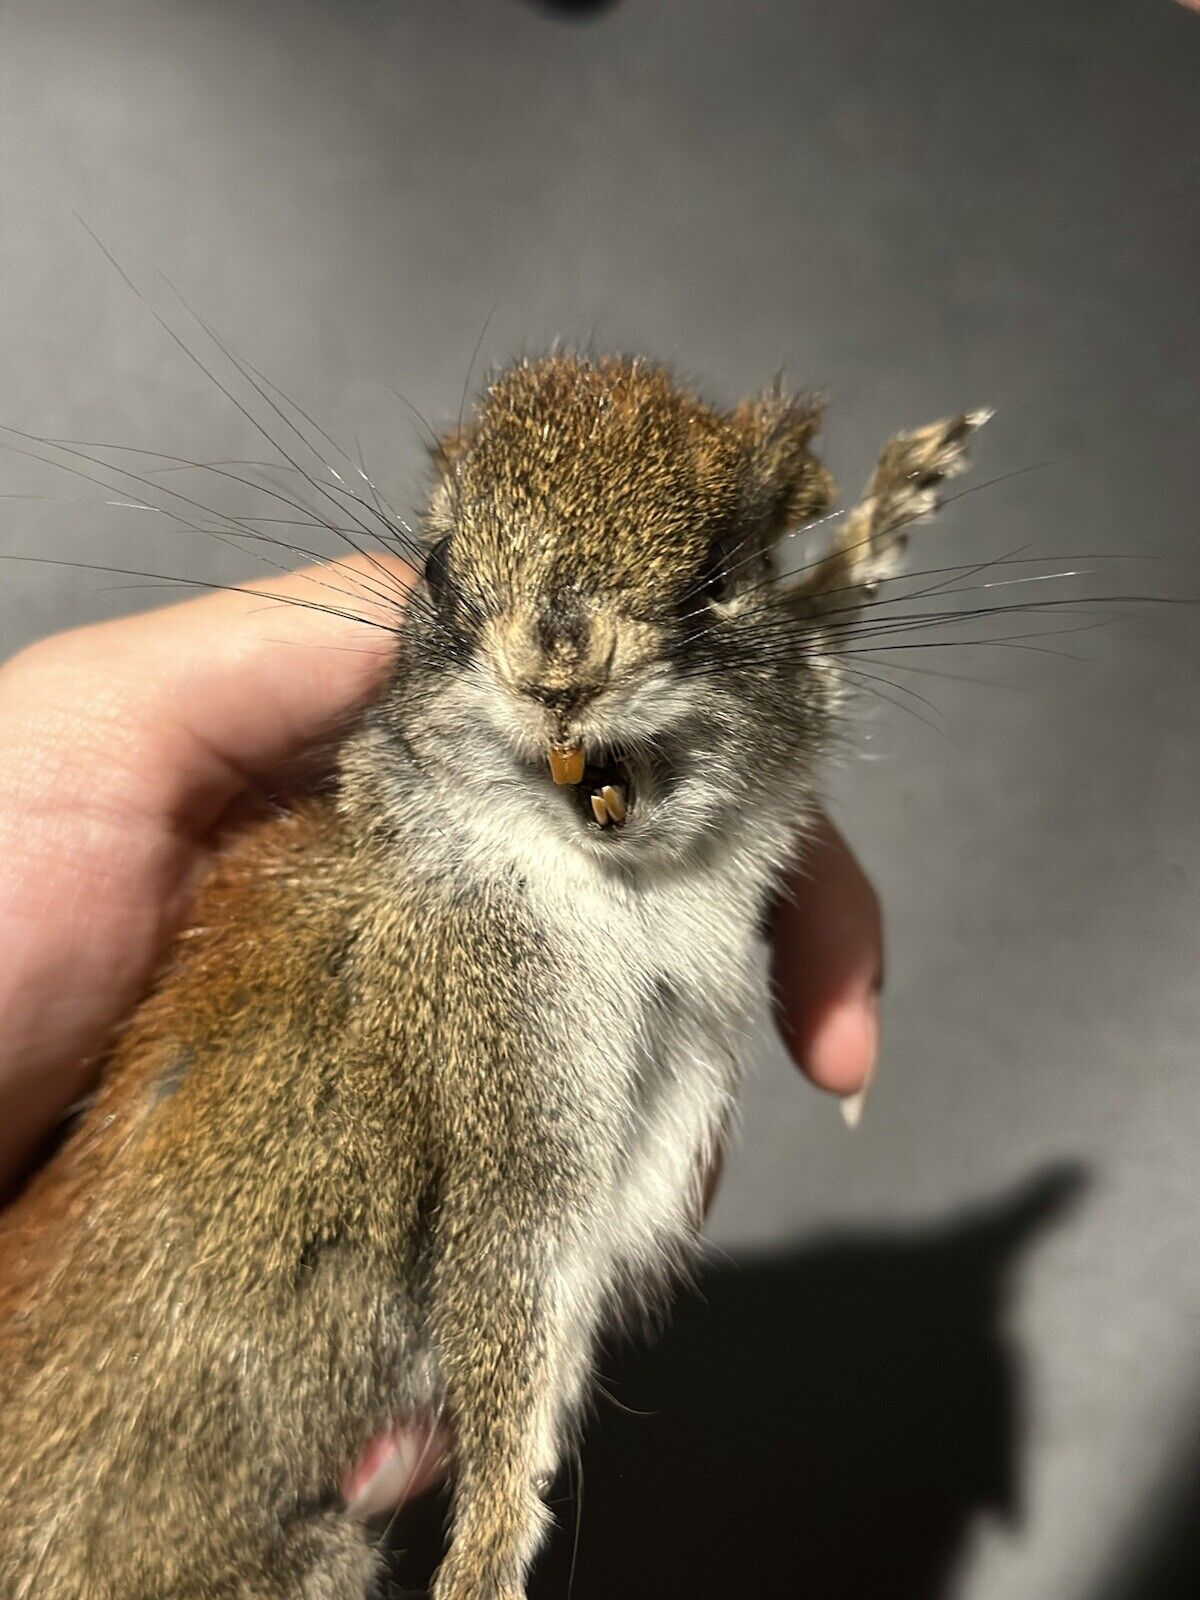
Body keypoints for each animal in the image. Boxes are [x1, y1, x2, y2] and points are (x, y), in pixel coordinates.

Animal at [0, 352, 983, 1599]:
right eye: (434, 568)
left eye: (721, 577)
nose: (557, 670)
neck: (621, 873)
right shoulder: (501, 1084)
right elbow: (508, 1301)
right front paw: (486, 1553)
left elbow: (811, 668)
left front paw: (893, 503)